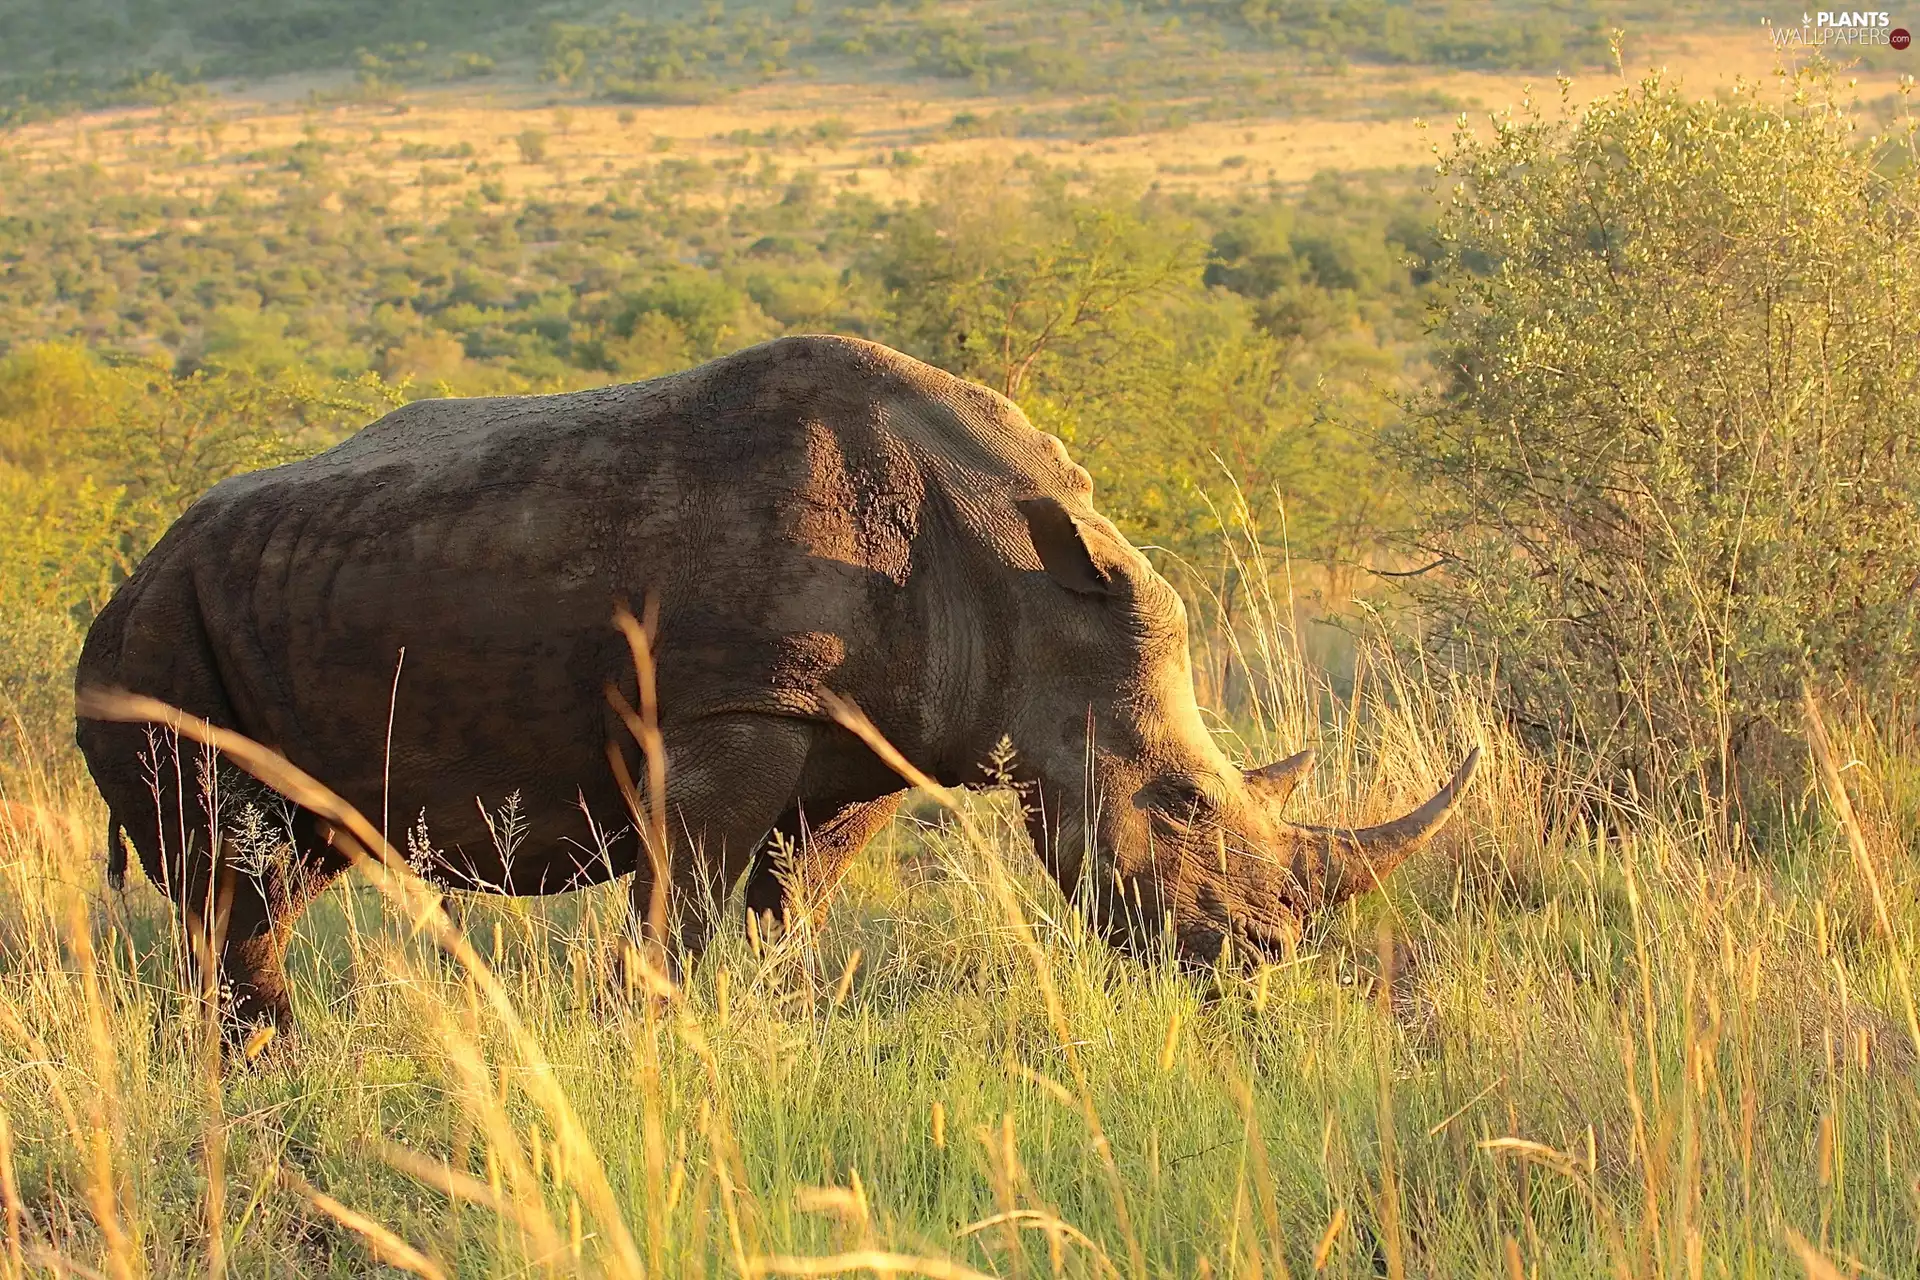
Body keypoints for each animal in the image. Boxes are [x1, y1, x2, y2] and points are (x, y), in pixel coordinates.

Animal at [75, 336, 1476, 1036]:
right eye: (1178, 802)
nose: (1262, 958)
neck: (1026, 586)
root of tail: (123, 580)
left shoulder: (874, 737)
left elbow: (784, 909)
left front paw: (772, 1022)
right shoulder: (734, 708)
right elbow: (683, 904)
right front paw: (652, 1044)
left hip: (255, 606)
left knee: (284, 867)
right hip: (151, 649)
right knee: (230, 877)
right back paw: (260, 1072)